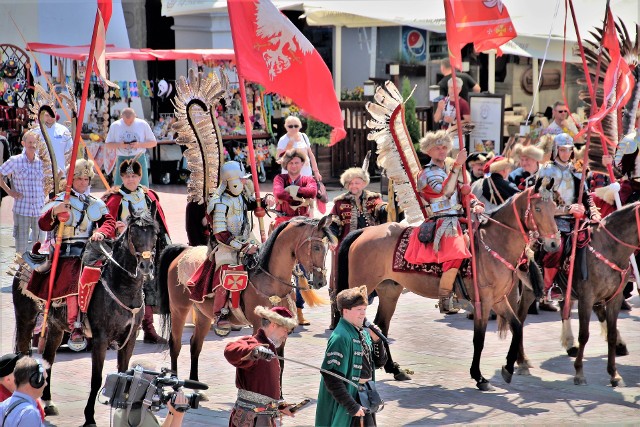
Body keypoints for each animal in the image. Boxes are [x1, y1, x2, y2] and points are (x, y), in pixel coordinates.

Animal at [12, 211, 159, 427]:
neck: (122, 286)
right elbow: (96, 379)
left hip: (55, 327)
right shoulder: (100, 339)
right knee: (23, 355)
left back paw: (48, 402)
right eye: (133, 233)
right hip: (26, 320)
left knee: (48, 359)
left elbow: (126, 376)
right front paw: (89, 417)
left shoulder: (129, 339)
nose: (146, 265)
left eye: (154, 234)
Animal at [156, 217, 336, 384]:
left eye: (327, 248)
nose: (321, 281)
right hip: (179, 309)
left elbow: (280, 365)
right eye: (316, 247)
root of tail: (184, 251)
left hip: (202, 313)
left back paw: (194, 381)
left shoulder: (282, 328)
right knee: (175, 344)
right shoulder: (258, 325)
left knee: (195, 345)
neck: (270, 279)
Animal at [336, 179, 560, 392]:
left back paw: (395, 369)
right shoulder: (483, 301)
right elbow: (479, 339)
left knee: (381, 325)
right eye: (537, 208)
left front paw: (508, 368)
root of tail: (365, 231)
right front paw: (479, 377)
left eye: (554, 206)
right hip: (362, 288)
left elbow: (517, 327)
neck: (495, 242)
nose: (554, 244)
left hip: (389, 290)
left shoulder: (499, 299)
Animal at [516, 201, 636, 388]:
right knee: (520, 320)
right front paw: (579, 373)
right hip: (529, 289)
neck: (610, 248)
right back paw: (522, 362)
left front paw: (614, 374)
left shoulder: (614, 298)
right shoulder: (586, 299)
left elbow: (611, 334)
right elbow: (584, 335)